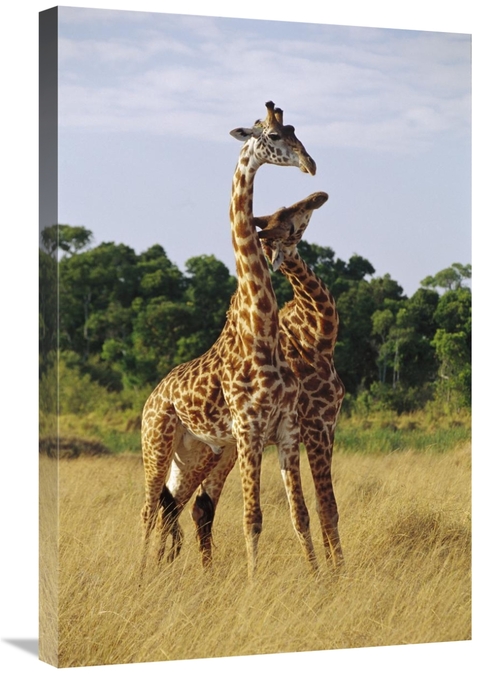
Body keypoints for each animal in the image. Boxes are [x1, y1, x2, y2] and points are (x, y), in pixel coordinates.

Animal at [141, 101, 318, 578]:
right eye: (272, 137)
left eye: (295, 131)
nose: (310, 164)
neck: (261, 334)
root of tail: (152, 396)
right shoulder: (250, 429)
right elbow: (252, 518)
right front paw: (254, 585)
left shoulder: (286, 430)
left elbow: (300, 514)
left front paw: (320, 578)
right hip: (157, 442)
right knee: (149, 508)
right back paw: (140, 574)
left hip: (200, 453)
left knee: (176, 506)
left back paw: (172, 571)